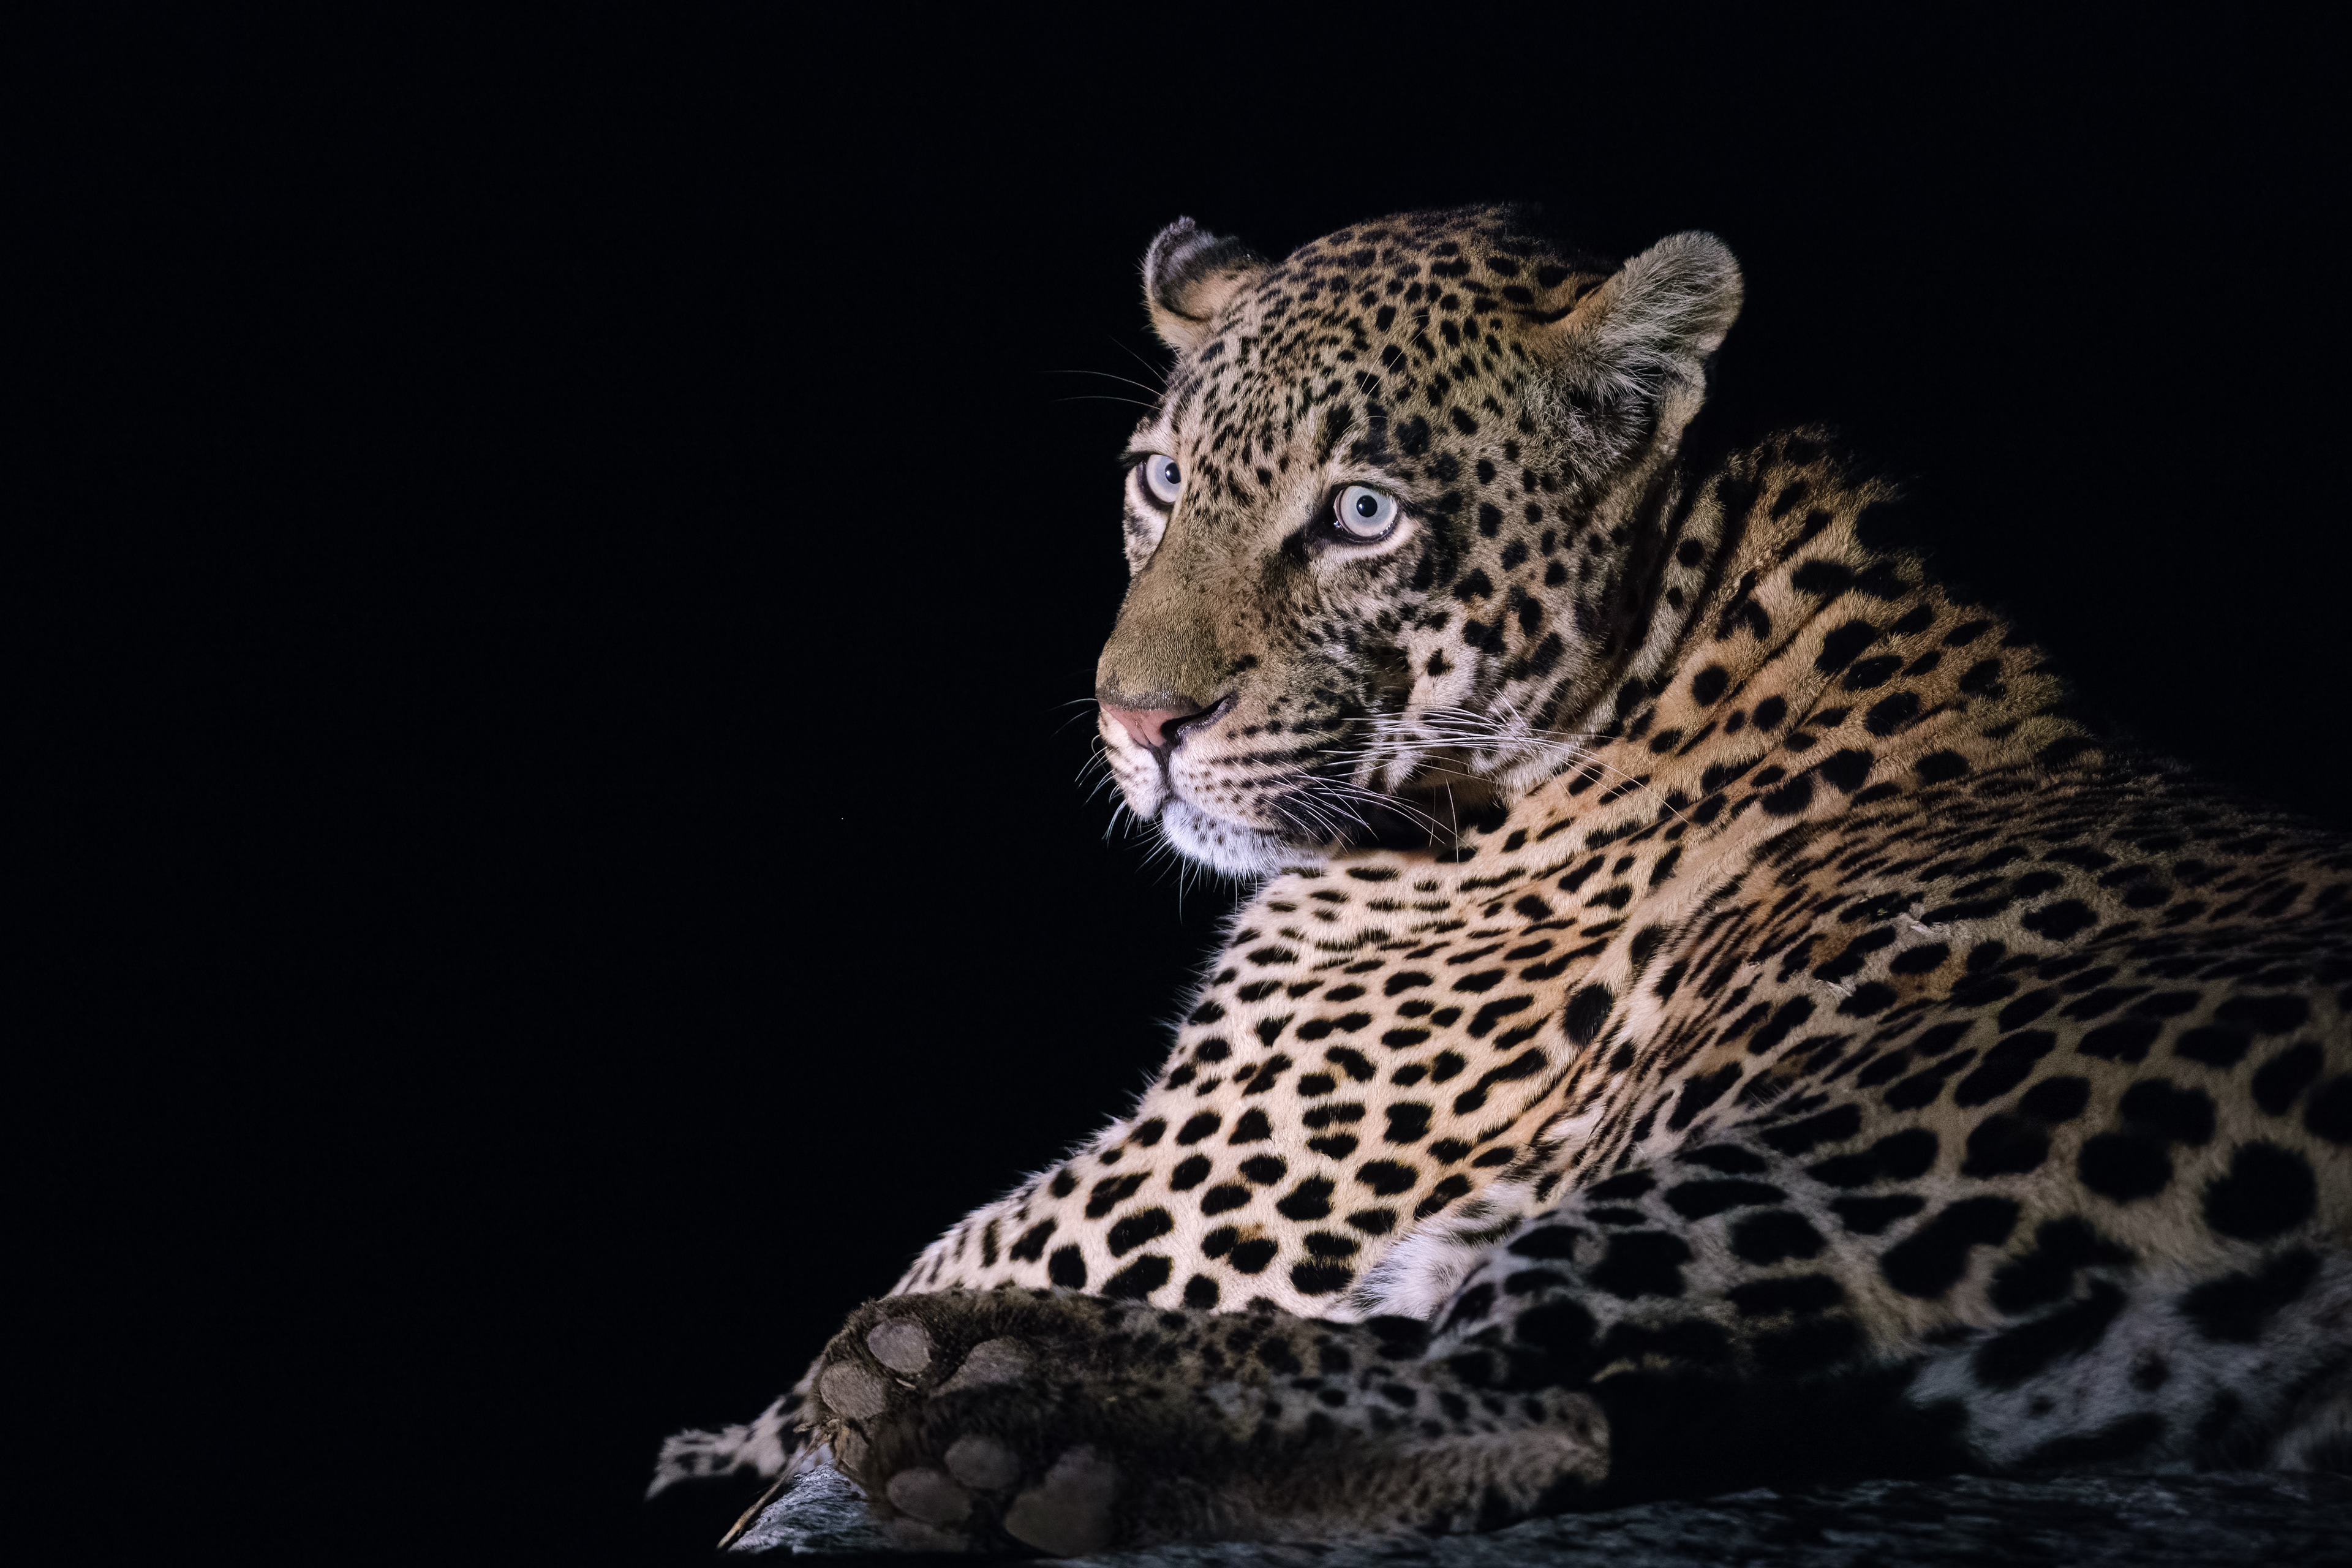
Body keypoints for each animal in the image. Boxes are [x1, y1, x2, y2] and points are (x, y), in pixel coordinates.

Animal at [654, 205, 2352, 1556]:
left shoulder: (1223, 1175)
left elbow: (962, 1241)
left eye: (1361, 513)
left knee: (1536, 1397)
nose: (1136, 722)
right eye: (1159, 479)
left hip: (1869, 1127)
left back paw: (983, 1410)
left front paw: (745, 1444)